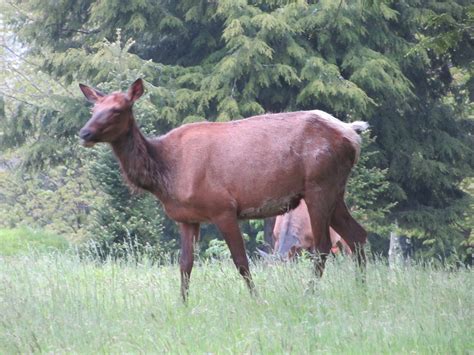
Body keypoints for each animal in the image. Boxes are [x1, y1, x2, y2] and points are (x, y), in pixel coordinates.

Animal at [78, 78, 368, 300]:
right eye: (93, 109)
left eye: (118, 109)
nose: (84, 133)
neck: (167, 174)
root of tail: (352, 134)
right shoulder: (186, 218)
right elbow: (185, 264)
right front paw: (182, 304)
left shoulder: (223, 208)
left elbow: (241, 262)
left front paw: (257, 299)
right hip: (334, 190)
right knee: (357, 235)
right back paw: (360, 289)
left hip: (320, 185)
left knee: (323, 245)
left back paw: (309, 293)